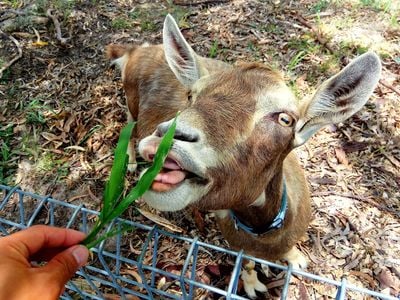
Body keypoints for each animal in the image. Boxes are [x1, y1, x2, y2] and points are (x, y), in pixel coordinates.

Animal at [107, 14, 382, 298]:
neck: (266, 236)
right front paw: (252, 286)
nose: (167, 139)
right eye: (191, 95)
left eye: (286, 119)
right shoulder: (236, 241)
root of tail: (136, 50)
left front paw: (295, 258)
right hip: (131, 100)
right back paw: (129, 160)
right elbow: (247, 263)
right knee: (128, 123)